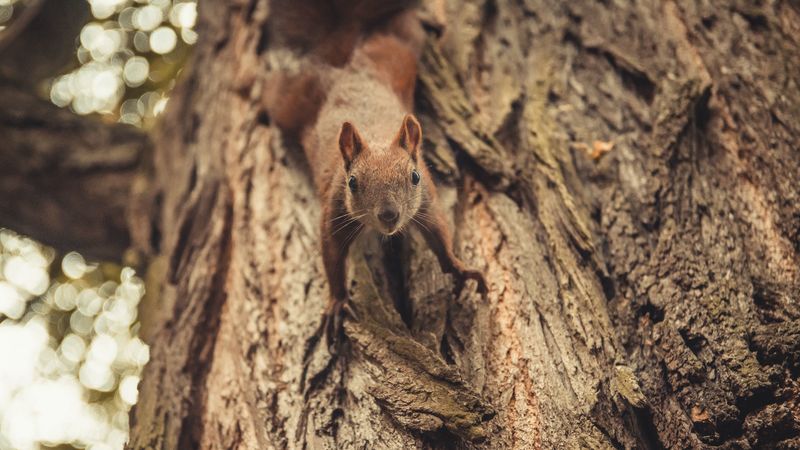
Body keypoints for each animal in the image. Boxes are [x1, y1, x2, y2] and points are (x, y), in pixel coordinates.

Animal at [265, 2, 488, 344]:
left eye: (414, 177)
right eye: (352, 182)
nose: (389, 215)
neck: (378, 136)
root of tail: (345, 60)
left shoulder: (426, 199)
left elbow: (439, 232)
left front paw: (459, 267)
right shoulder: (335, 208)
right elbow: (331, 254)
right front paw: (337, 301)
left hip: (398, 51)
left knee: (402, 27)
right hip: (295, 103)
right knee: (277, 93)